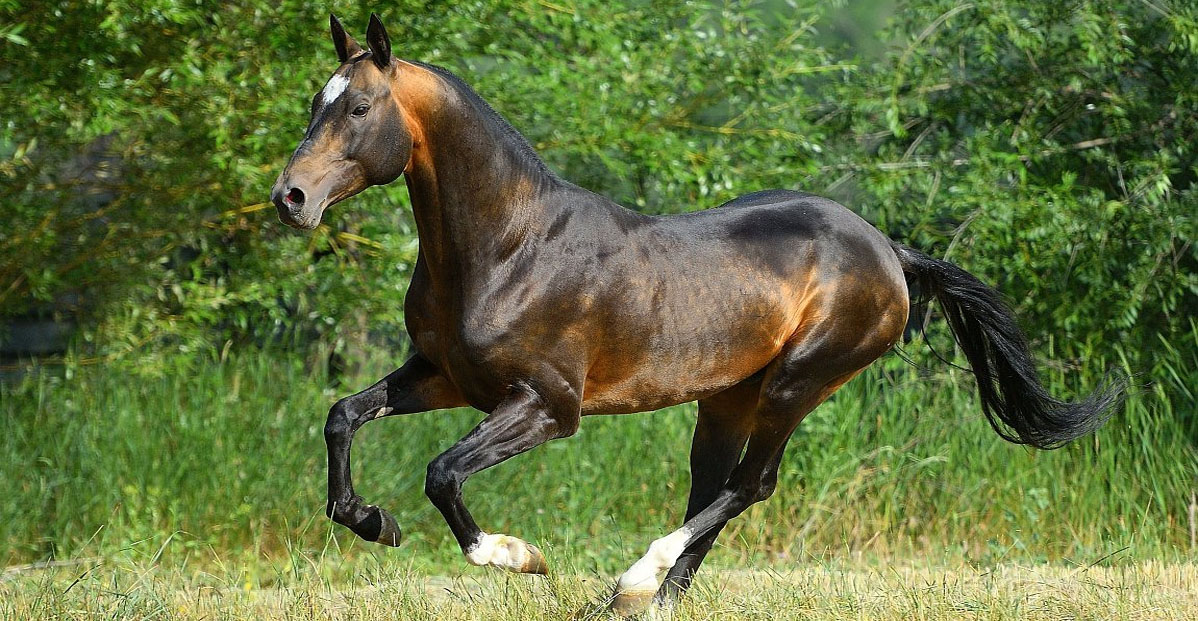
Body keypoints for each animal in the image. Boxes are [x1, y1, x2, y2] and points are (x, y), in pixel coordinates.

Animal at [269, 14, 1121, 618]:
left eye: (361, 107)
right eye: (314, 104)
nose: (291, 198)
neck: (510, 245)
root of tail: (891, 252)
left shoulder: (547, 406)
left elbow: (443, 471)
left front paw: (519, 556)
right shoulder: (444, 376)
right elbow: (344, 415)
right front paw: (370, 519)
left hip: (799, 382)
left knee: (750, 484)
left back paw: (633, 581)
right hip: (727, 397)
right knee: (716, 485)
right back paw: (645, 599)